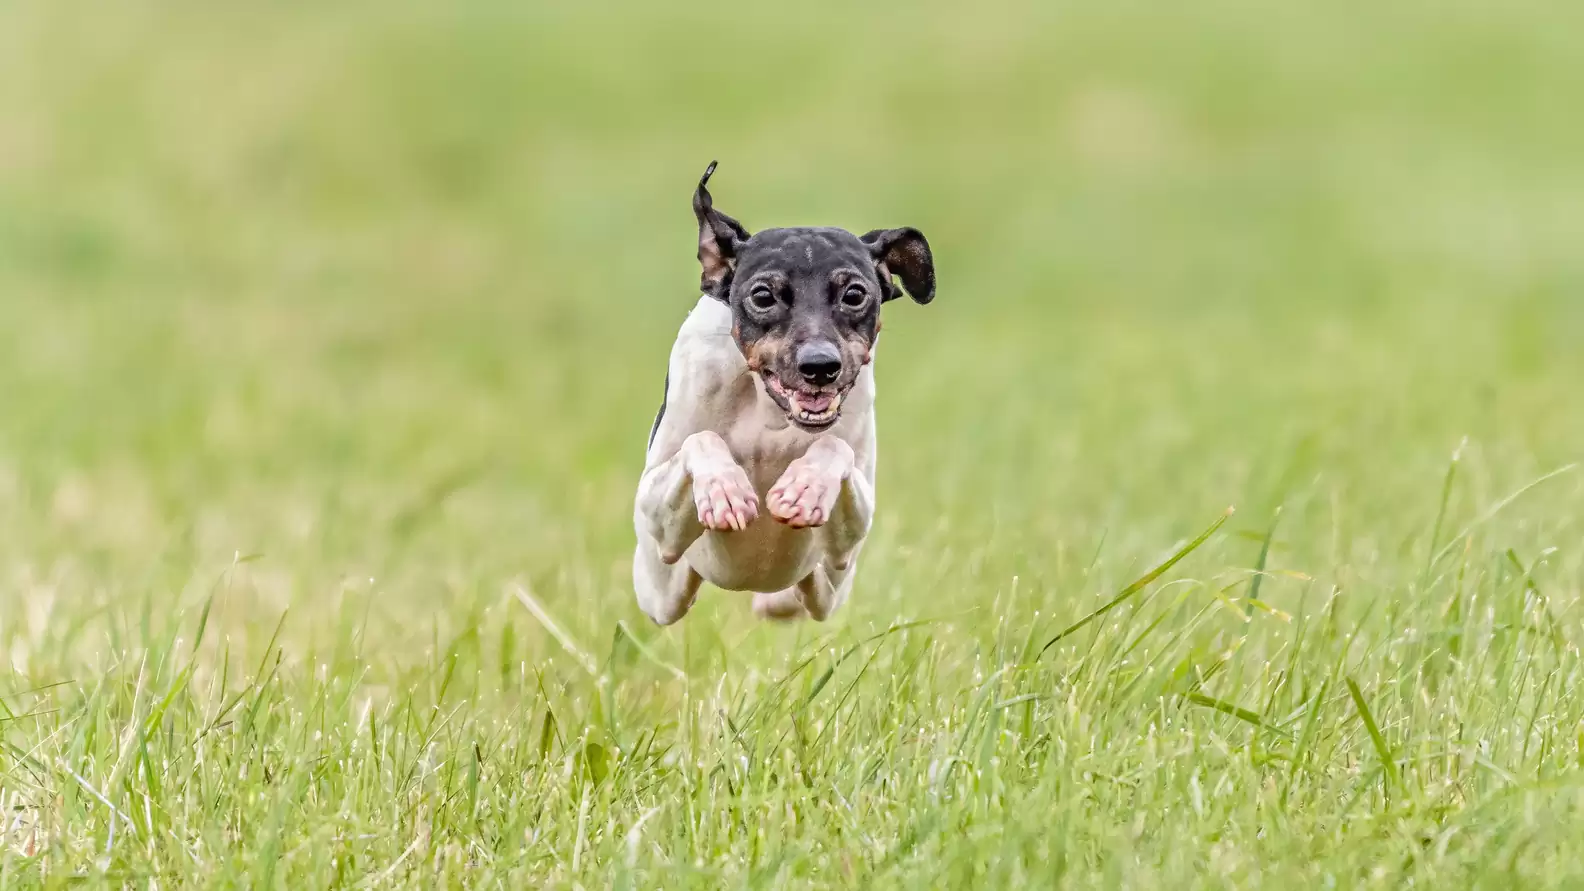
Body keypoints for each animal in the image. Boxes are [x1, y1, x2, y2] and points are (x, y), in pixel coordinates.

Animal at [627, 163, 925, 621]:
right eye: (763, 295)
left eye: (855, 294)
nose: (820, 367)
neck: (770, 415)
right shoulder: (656, 518)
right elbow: (700, 440)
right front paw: (724, 489)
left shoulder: (850, 537)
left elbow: (836, 449)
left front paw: (805, 488)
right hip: (659, 588)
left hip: (824, 588)